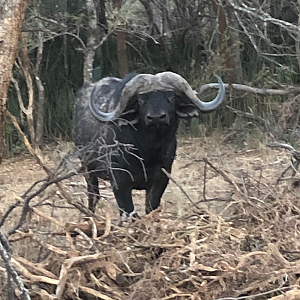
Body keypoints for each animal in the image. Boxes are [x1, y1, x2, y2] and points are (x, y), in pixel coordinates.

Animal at [73, 71, 225, 219]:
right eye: (141, 101)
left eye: (171, 97)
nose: (156, 117)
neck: (148, 151)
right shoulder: (119, 178)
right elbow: (128, 210)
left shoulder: (162, 176)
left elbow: (151, 207)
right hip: (87, 169)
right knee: (93, 196)